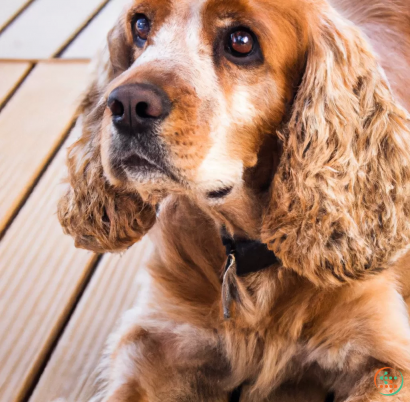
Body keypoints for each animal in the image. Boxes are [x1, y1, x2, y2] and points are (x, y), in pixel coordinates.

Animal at [56, 0, 410, 400]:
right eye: (141, 25)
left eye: (241, 42)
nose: (127, 104)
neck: (246, 253)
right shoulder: (156, 340)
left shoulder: (386, 357)